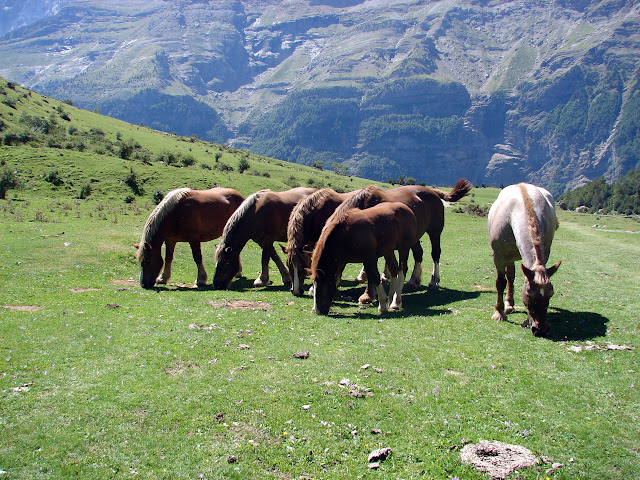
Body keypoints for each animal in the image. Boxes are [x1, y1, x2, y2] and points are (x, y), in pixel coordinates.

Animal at [332, 178, 472, 302]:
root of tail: (433, 192)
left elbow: (371, 270)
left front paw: (368, 295)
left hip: (435, 232)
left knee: (435, 253)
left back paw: (434, 280)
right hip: (414, 238)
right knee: (418, 254)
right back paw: (413, 280)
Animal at [490, 184, 560, 338]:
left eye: (551, 294)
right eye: (529, 295)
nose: (540, 329)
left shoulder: (545, 253)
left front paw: (528, 320)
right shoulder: (499, 256)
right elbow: (501, 283)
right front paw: (499, 313)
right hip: (508, 257)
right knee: (509, 278)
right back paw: (508, 306)